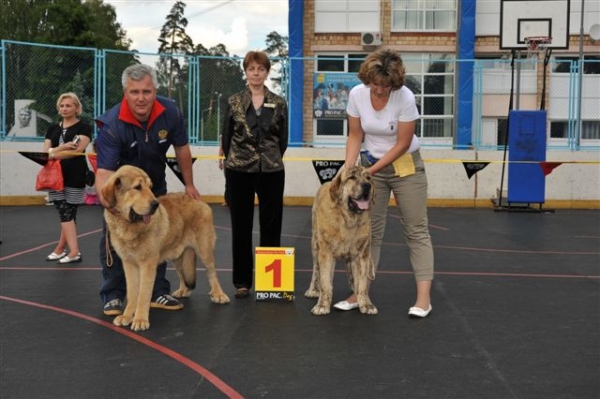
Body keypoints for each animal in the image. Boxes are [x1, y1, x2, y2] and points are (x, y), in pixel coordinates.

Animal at [102, 166, 229, 332]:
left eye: (150, 187)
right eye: (137, 187)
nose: (155, 204)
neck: (129, 226)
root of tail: (196, 198)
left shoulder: (147, 265)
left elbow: (143, 294)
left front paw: (140, 319)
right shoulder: (128, 264)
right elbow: (132, 292)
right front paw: (127, 316)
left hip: (204, 250)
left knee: (212, 273)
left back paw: (218, 294)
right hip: (178, 256)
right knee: (183, 275)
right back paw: (183, 290)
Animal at [304, 166, 376, 316]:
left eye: (368, 178)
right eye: (352, 178)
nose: (367, 185)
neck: (348, 219)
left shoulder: (362, 254)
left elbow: (362, 283)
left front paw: (366, 304)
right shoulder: (325, 254)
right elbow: (325, 282)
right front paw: (322, 305)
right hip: (315, 246)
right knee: (316, 271)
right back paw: (314, 290)